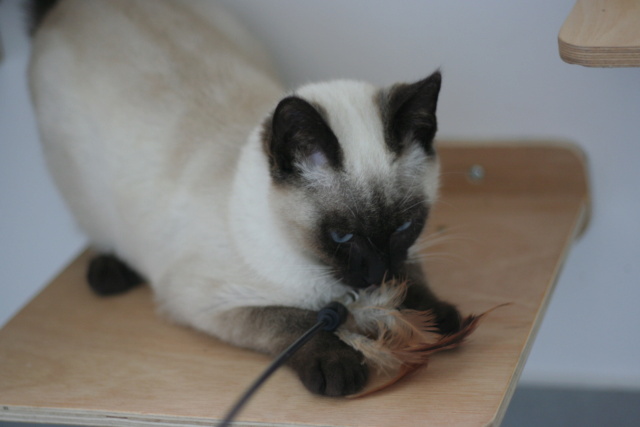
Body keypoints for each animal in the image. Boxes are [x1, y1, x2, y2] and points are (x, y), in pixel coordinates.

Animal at [28, 0, 460, 398]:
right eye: (341, 237)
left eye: (405, 226)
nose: (377, 274)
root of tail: (76, 6)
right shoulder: (209, 302)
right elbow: (295, 321)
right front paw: (338, 365)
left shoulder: (406, 255)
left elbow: (411, 280)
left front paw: (438, 320)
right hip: (81, 188)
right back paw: (109, 271)